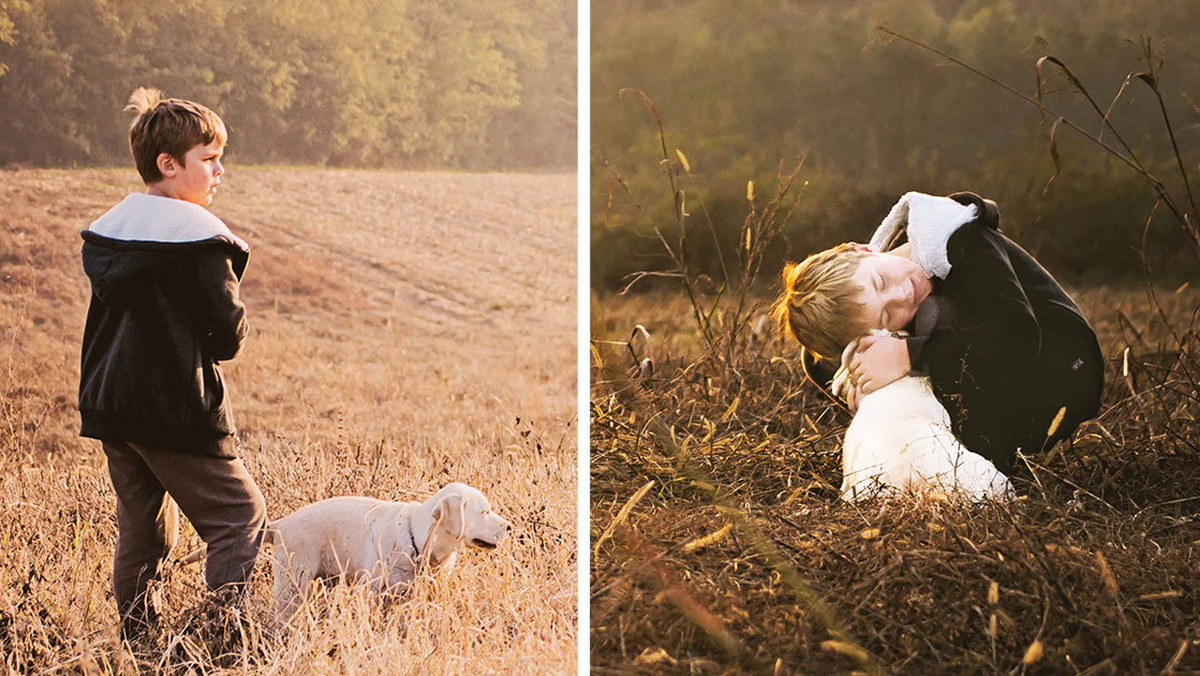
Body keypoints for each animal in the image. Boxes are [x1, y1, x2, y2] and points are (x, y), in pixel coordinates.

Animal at [267, 485, 511, 629]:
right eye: (484, 512)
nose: (509, 526)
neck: (417, 540)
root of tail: (279, 525)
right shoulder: (372, 592)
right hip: (293, 586)